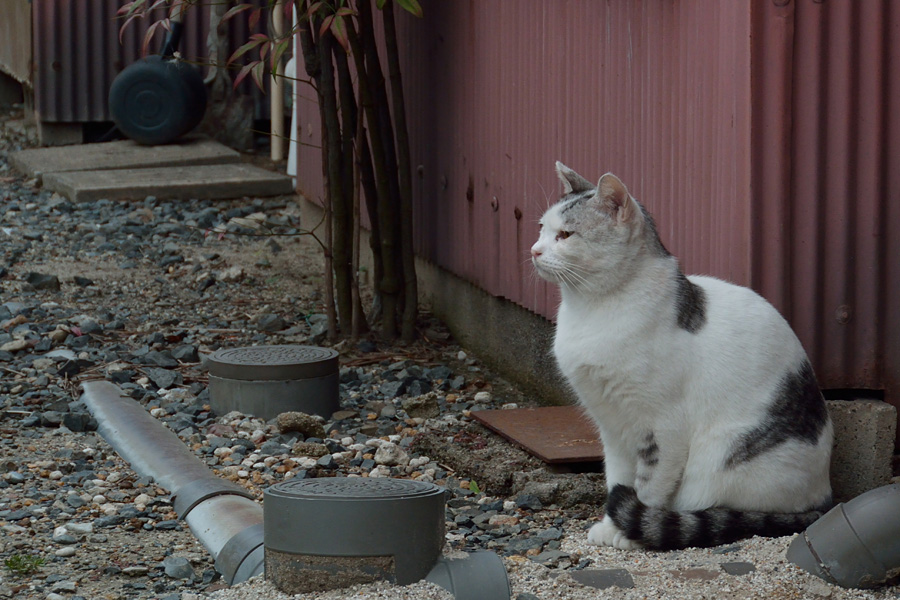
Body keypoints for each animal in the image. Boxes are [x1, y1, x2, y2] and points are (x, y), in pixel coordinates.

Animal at [532, 162, 832, 552]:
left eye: (565, 235)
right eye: (542, 228)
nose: (534, 251)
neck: (592, 310)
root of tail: (826, 498)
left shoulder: (663, 428)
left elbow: (648, 485)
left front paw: (630, 532)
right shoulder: (611, 426)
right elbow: (618, 478)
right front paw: (611, 524)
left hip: (722, 460)